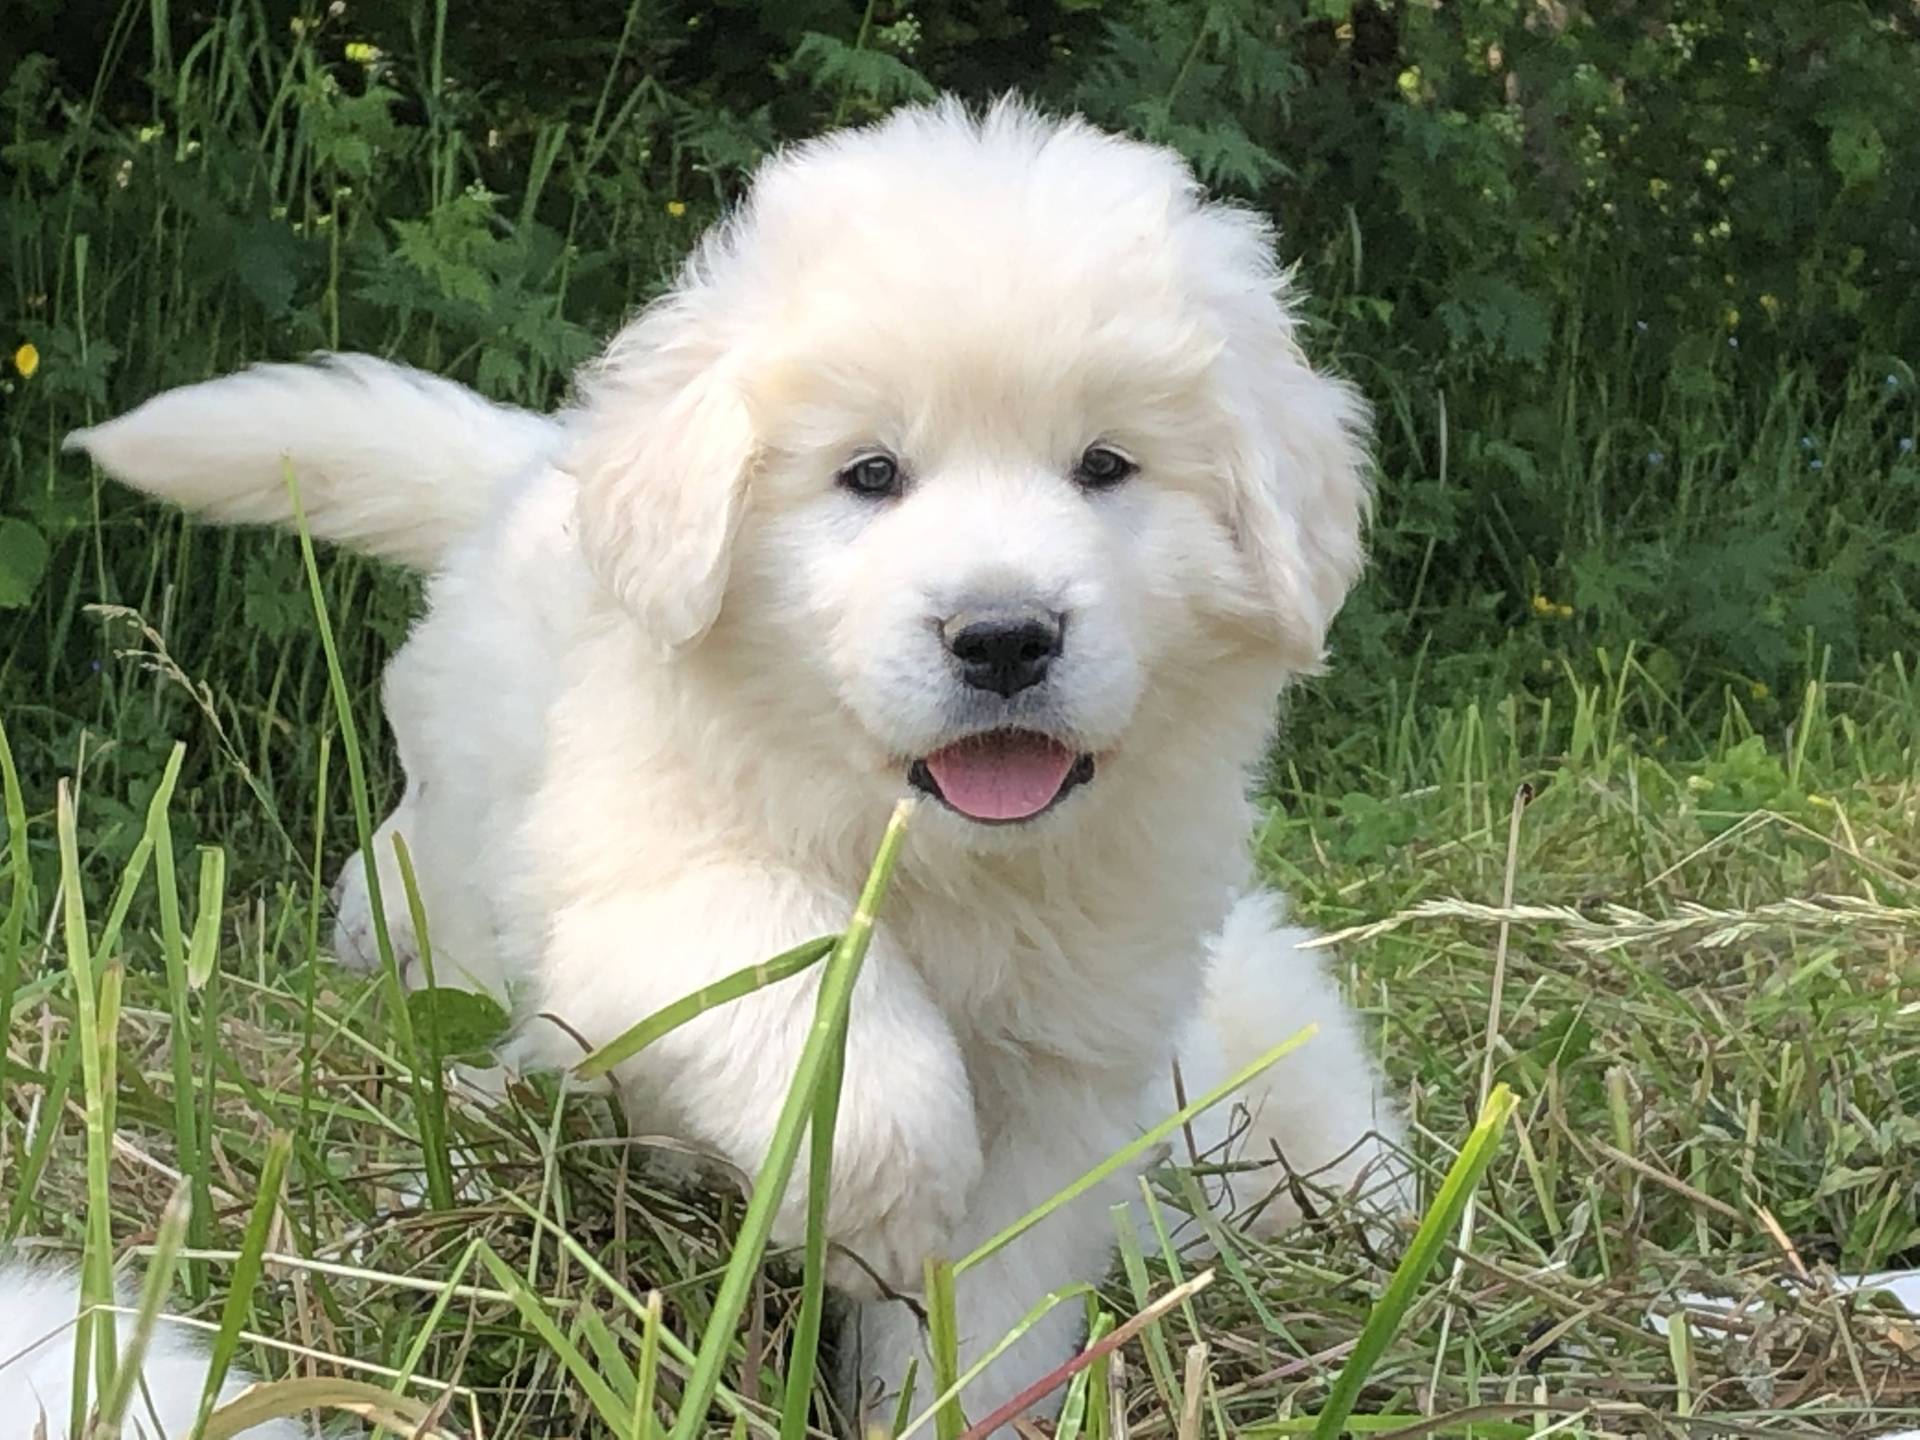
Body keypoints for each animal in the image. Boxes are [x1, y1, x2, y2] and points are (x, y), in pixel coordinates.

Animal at [71, 101, 1397, 1436]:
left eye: (1106, 466)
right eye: (871, 474)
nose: (1004, 636)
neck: (938, 860)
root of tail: (538, 465)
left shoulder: (1069, 1071)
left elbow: (990, 1301)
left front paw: (942, 1394)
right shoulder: (636, 882)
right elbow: (801, 976)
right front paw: (870, 1198)